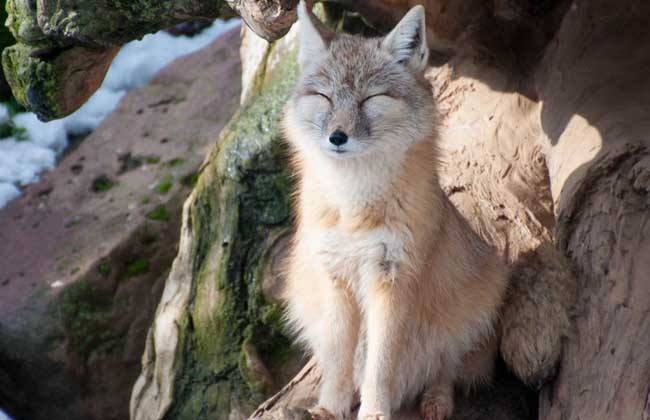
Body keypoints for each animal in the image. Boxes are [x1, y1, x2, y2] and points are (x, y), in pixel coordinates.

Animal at [282, 3, 509, 419]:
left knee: (446, 368)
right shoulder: (335, 277)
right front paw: (331, 407)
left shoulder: (392, 279)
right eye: (324, 97)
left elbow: (381, 365)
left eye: (371, 99)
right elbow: (340, 359)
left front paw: (373, 413)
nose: (337, 137)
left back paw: (436, 399)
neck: (353, 206)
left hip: (471, 306)